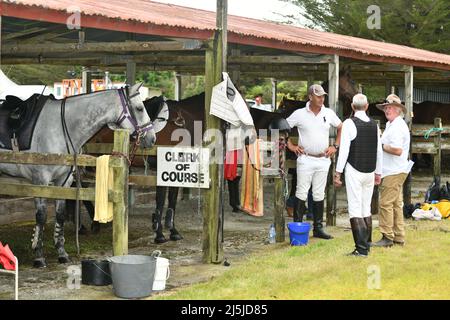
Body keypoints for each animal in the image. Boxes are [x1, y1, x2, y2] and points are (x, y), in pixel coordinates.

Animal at [0, 83, 156, 268]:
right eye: (139, 108)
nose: (152, 138)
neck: (58, 127)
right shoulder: (40, 180)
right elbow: (41, 216)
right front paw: (38, 256)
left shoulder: (63, 182)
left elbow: (59, 215)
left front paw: (61, 253)